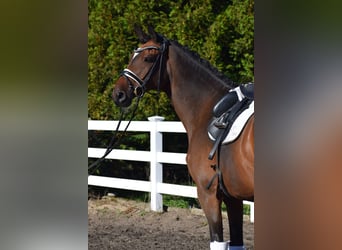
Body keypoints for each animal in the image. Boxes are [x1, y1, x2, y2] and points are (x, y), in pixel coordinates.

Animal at [112, 26, 254, 249]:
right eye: (131, 55)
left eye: (148, 58)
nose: (118, 93)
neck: (208, 111)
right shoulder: (234, 198)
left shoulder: (209, 195)